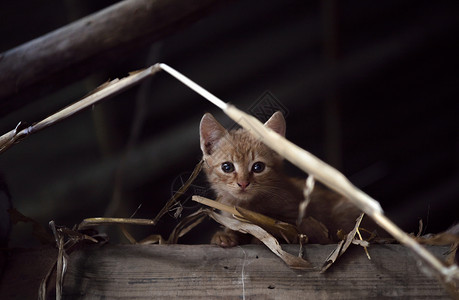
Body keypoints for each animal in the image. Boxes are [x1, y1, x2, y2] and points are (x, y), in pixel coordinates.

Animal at [201, 110, 366, 246]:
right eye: (227, 167)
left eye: (258, 167)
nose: (243, 183)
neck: (249, 206)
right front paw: (226, 235)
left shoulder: (300, 218)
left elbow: (291, 230)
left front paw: (261, 238)